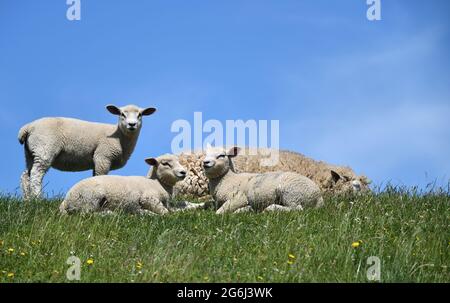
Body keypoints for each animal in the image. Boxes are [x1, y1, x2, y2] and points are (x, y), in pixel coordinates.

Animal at [18, 104, 156, 200]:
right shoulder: (103, 156)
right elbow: (101, 176)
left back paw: (27, 200)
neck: (119, 136)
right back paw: (38, 198)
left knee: (26, 175)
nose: (132, 124)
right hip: (45, 148)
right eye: (122, 114)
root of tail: (28, 127)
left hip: (31, 152)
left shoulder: (98, 160)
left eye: (140, 115)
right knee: (36, 174)